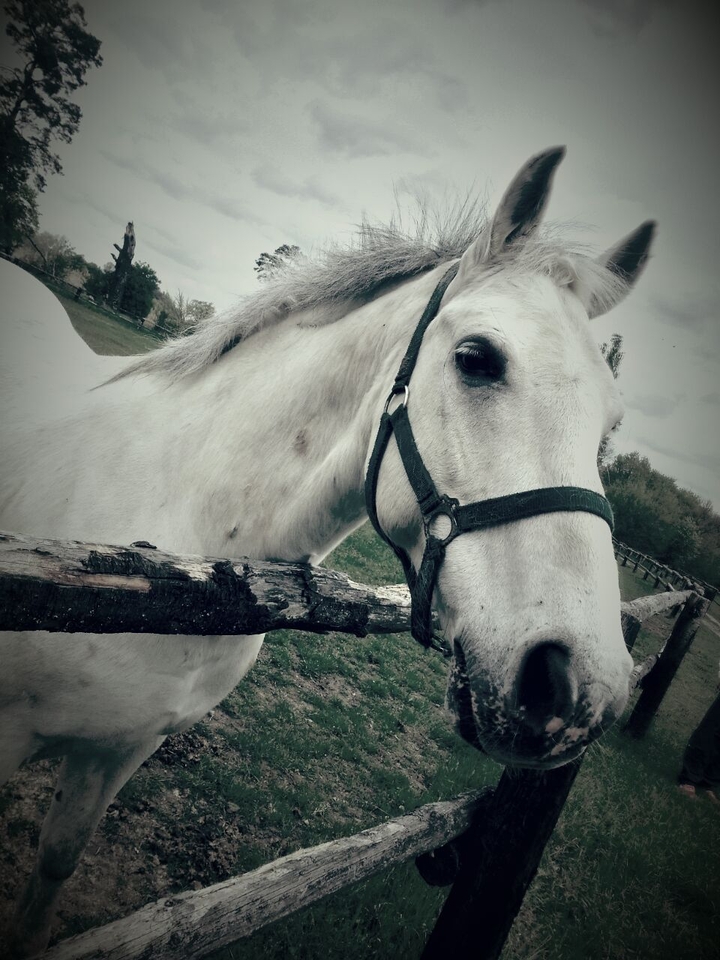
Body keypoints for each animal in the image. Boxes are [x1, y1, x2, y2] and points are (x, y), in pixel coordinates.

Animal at [0, 147, 655, 956]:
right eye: (476, 358)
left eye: (611, 420)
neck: (181, 562)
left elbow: (55, 863)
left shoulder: (120, 747)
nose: (579, 691)